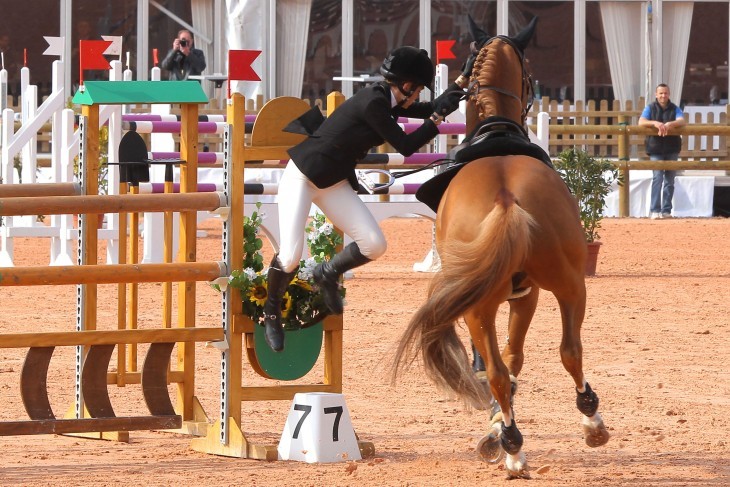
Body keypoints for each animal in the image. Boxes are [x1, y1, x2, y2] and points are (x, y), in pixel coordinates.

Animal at [392, 17, 608, 478]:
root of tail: (507, 198)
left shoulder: (516, 296)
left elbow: (507, 364)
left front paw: (495, 427)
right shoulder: (526, 296)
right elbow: (514, 360)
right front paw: (497, 425)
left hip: (493, 302)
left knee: (503, 368)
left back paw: (513, 445)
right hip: (563, 286)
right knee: (565, 352)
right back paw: (584, 422)